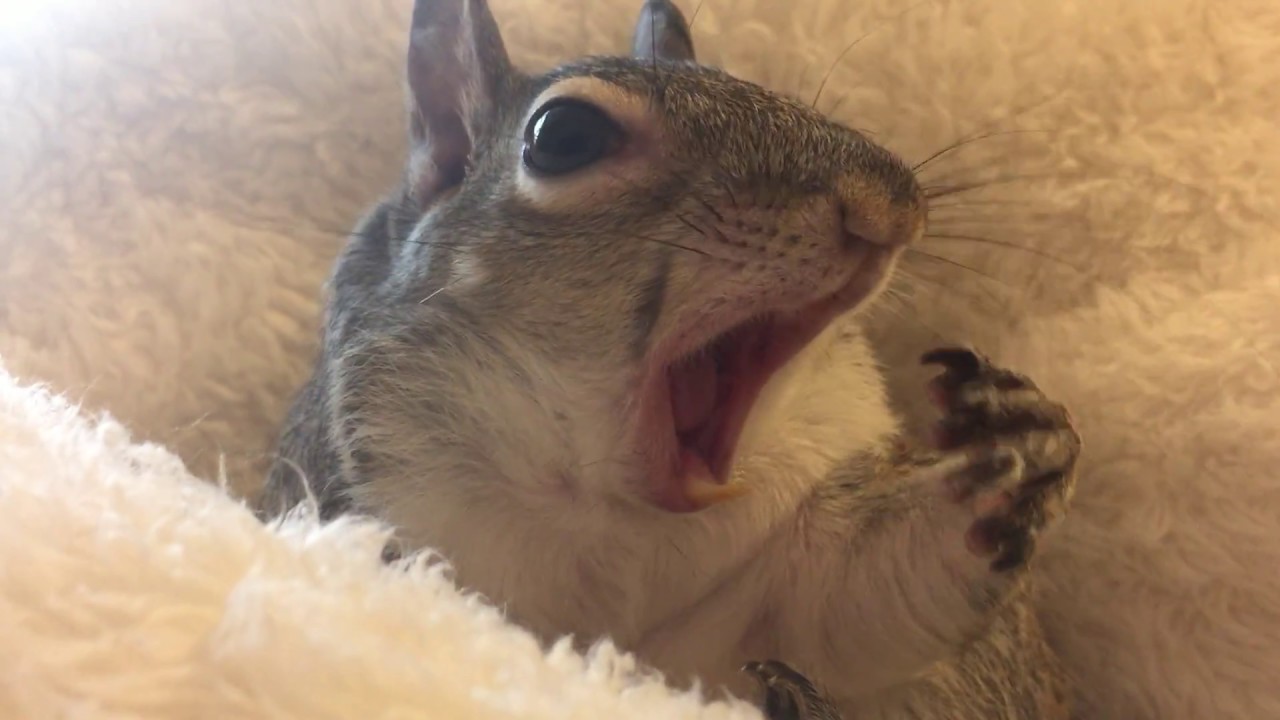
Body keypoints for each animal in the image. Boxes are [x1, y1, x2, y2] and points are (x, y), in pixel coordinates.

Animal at [256, 1, 1082, 718]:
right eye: (563, 135)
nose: (885, 207)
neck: (621, 525)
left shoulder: (791, 575)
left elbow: (873, 585)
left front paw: (1017, 449)